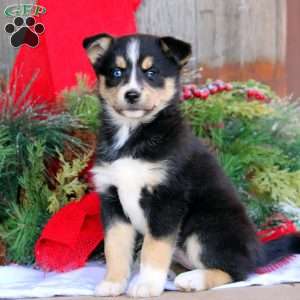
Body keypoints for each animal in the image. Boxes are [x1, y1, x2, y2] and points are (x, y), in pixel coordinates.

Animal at [83, 33, 300, 298]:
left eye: (152, 72)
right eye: (116, 72)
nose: (131, 95)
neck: (132, 134)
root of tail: (258, 250)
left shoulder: (167, 199)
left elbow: (153, 248)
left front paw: (146, 285)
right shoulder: (111, 199)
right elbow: (115, 247)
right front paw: (113, 282)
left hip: (204, 228)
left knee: (237, 271)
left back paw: (193, 279)